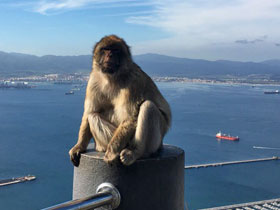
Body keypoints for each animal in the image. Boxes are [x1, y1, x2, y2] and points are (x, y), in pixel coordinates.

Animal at [69, 34, 172, 167]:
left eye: (116, 50)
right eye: (106, 49)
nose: (110, 55)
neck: (111, 78)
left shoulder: (133, 82)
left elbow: (129, 117)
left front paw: (112, 153)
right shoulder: (93, 81)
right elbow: (88, 113)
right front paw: (79, 146)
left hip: (156, 141)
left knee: (148, 106)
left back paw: (135, 152)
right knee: (93, 116)